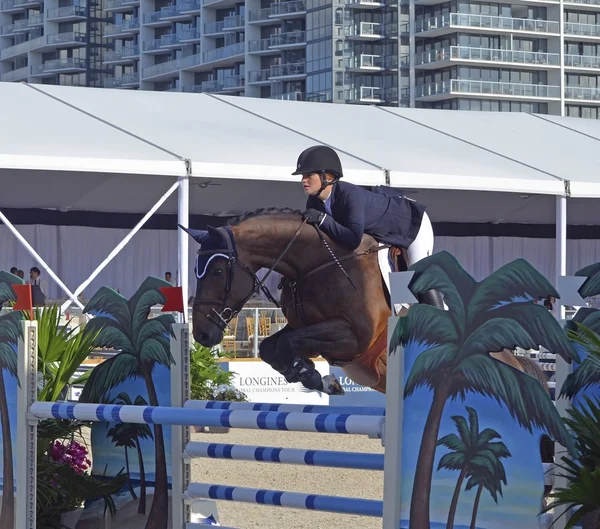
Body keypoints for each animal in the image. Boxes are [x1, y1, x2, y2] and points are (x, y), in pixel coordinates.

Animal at [185, 206, 552, 400]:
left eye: (217, 270)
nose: (201, 334)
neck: (318, 262)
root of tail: (515, 362)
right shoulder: (307, 328)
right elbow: (271, 346)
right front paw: (313, 377)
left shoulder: (354, 339)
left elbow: (285, 344)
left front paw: (316, 378)